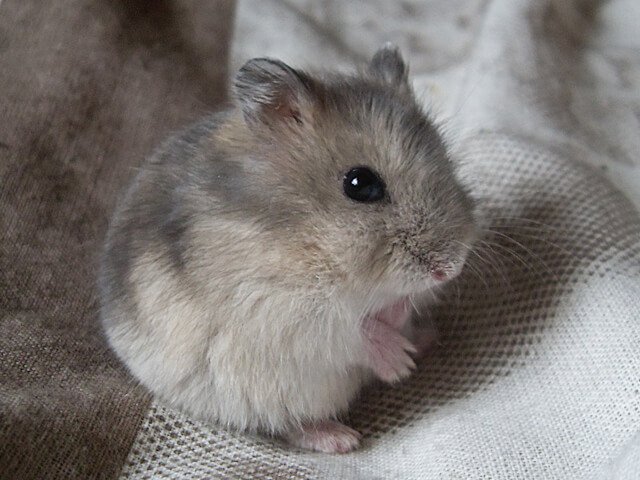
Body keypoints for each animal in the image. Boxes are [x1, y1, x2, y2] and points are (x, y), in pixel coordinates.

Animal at [100, 45, 478, 454]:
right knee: (288, 425)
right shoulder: (280, 310)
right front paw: (400, 364)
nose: (450, 269)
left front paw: (402, 319)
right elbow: (353, 330)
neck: (312, 235)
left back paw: (425, 338)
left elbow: (394, 307)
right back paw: (341, 438)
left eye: (446, 160)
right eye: (360, 184)